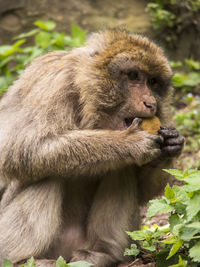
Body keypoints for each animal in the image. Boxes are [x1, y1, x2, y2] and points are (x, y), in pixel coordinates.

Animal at [0, 29, 184, 267]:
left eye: (153, 82)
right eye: (133, 76)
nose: (150, 103)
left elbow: (145, 192)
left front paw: (172, 144)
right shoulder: (55, 84)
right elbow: (22, 149)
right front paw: (129, 144)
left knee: (121, 168)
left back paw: (102, 252)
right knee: (44, 173)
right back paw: (23, 259)